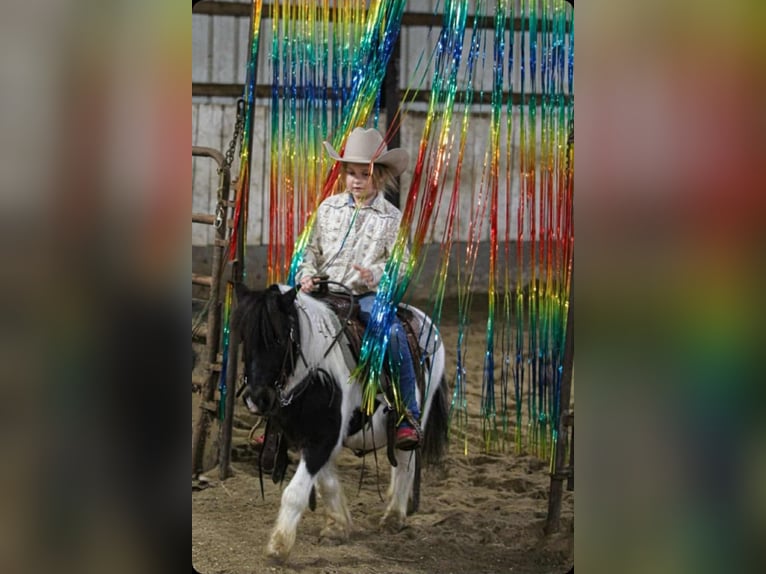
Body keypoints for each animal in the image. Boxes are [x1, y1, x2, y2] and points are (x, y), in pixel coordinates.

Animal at [232, 282, 449, 560]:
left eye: (279, 340)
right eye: (244, 339)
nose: (257, 399)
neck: (315, 373)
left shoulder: (324, 437)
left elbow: (295, 491)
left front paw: (278, 546)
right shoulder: (307, 436)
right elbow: (326, 482)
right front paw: (337, 527)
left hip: (418, 413)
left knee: (405, 463)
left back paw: (394, 516)